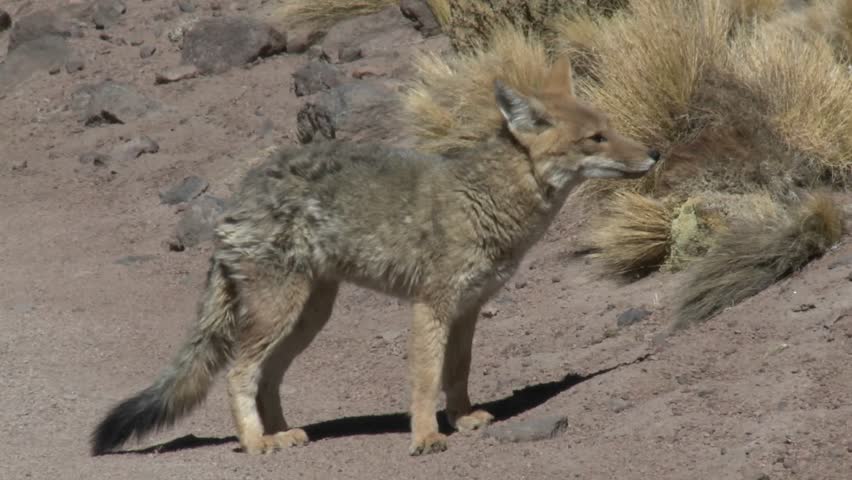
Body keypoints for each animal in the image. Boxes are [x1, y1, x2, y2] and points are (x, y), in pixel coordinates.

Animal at [88, 57, 660, 458]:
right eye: (596, 138)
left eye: (610, 127)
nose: (655, 152)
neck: (484, 197)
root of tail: (238, 196)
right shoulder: (431, 306)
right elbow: (426, 379)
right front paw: (426, 437)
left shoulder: (469, 308)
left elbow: (458, 371)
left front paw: (463, 418)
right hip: (280, 312)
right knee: (238, 374)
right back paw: (255, 443)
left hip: (309, 317)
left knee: (268, 376)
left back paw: (285, 433)